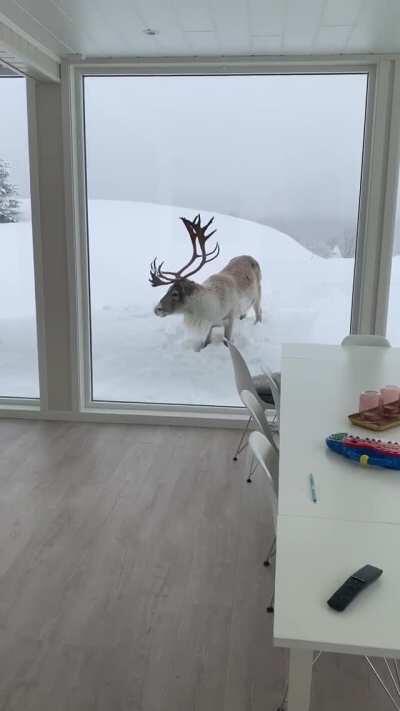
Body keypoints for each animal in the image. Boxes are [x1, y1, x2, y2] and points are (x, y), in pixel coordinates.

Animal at [149, 214, 262, 350]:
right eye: (168, 289)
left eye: (175, 293)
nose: (157, 309)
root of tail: (250, 257)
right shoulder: (210, 325)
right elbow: (205, 343)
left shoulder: (229, 320)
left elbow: (227, 342)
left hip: (258, 295)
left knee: (259, 313)